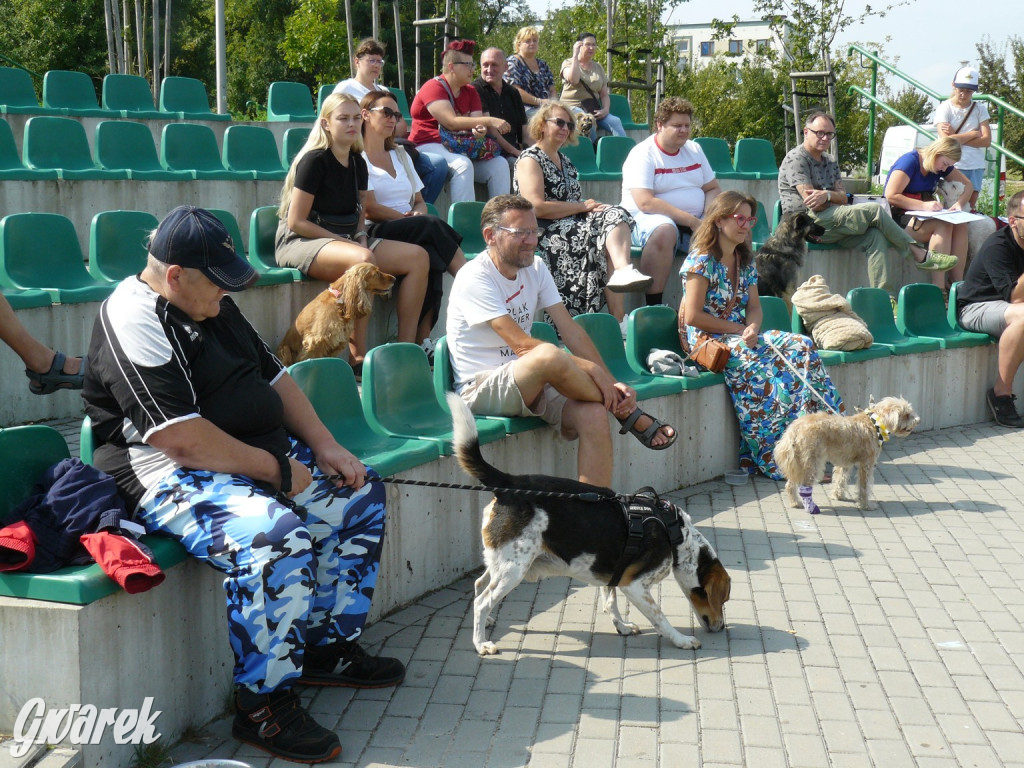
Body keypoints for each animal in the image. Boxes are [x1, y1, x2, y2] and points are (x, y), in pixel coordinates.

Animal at [448, 397, 729, 655]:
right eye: (724, 599)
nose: (722, 627)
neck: (675, 534)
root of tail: (508, 483)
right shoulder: (635, 586)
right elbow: (660, 618)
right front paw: (681, 640)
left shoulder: (616, 575)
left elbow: (610, 602)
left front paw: (622, 626)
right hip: (513, 569)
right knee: (482, 601)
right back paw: (481, 643)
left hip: (502, 562)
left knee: (479, 586)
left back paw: (487, 622)